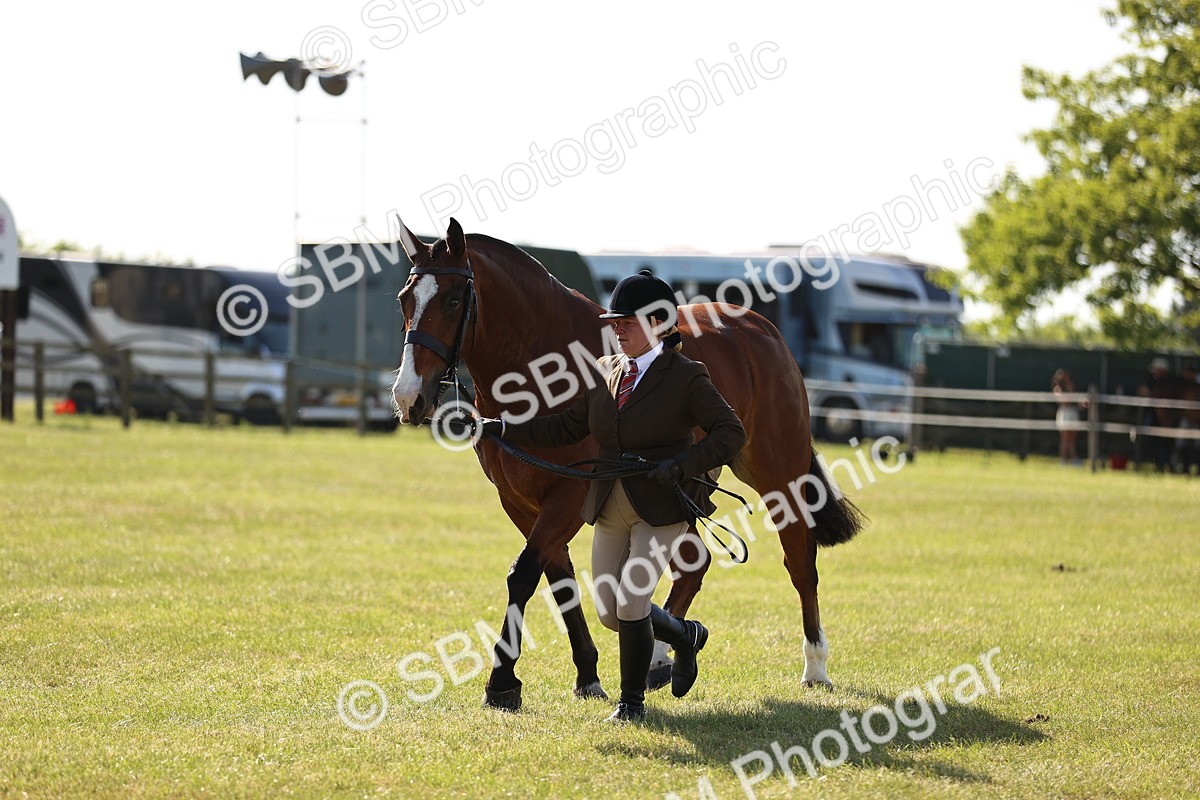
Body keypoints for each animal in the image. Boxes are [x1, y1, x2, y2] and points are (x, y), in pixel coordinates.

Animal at [391, 218, 864, 711]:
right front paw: (588, 676)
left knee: (800, 561)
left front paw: (502, 683)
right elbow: (559, 583)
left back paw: (815, 666)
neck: (541, 368)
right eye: (404, 299)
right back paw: (662, 657)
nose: (409, 398)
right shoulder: (520, 503)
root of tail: (762, 329)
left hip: (777, 475)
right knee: (692, 567)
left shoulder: (569, 497)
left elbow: (523, 576)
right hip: (684, 488)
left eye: (453, 300)